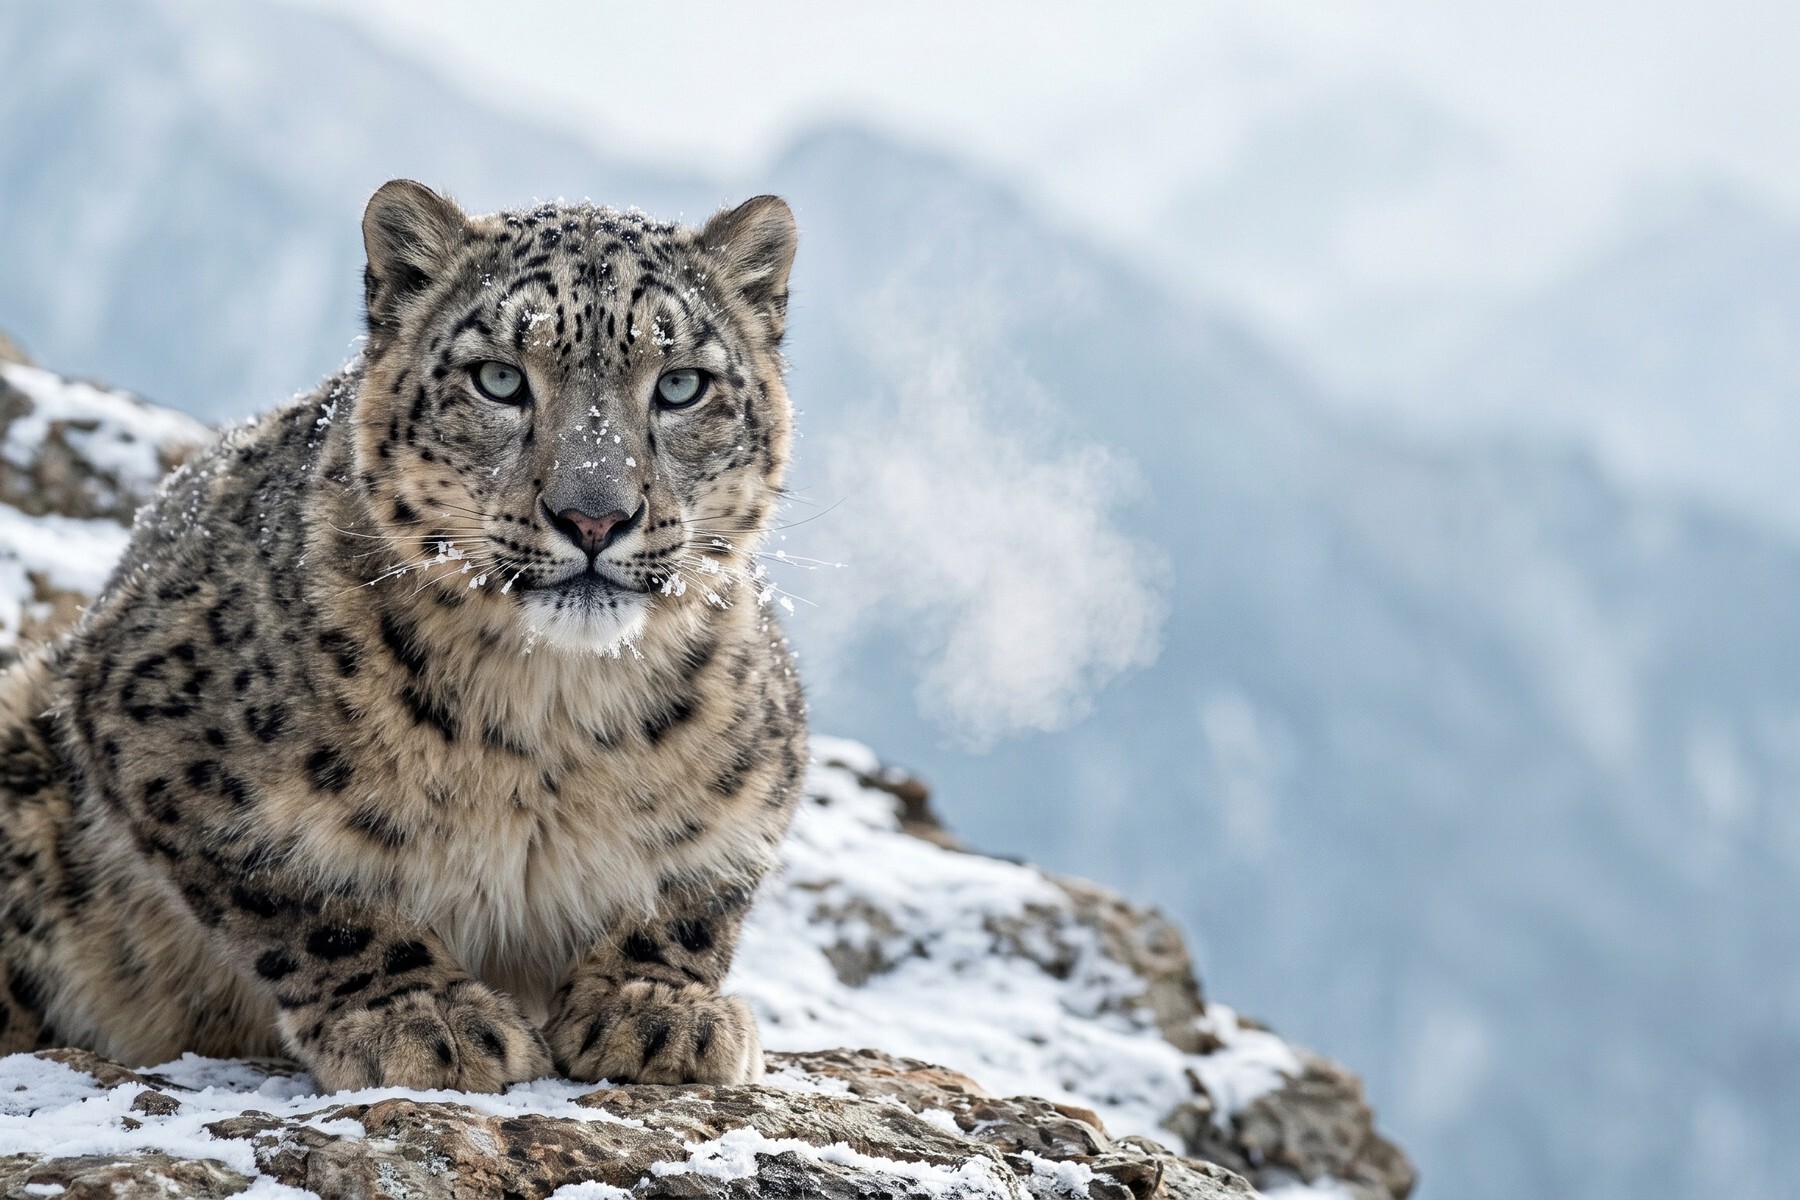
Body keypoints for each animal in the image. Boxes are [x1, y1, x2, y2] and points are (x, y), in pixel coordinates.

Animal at [0, 180, 808, 1093]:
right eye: (499, 378)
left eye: (679, 386)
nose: (594, 516)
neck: (552, 716)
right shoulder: (153, 732)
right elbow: (302, 895)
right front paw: (425, 1017)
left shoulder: (761, 776)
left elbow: (694, 894)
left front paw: (658, 1007)